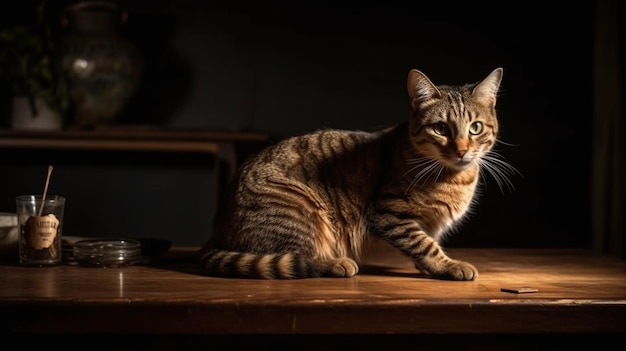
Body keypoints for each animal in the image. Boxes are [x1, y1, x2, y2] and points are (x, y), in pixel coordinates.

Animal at [197, 67, 516, 282]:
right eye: (440, 128)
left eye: (475, 127)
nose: (462, 150)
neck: (454, 177)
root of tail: (216, 228)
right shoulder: (388, 212)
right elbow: (424, 244)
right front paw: (448, 265)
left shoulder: (430, 222)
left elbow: (429, 240)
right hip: (300, 210)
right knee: (296, 257)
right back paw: (336, 263)